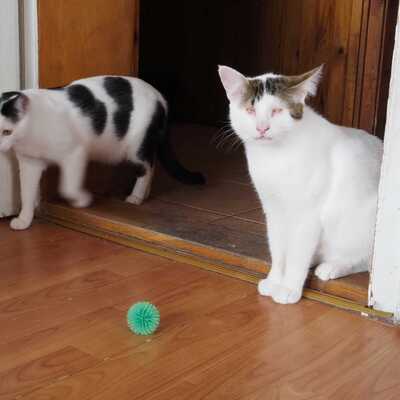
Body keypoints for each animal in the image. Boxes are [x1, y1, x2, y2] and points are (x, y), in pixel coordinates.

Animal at [0, 76, 205, 230]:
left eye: (7, 132)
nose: (0, 146)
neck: (31, 134)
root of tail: (161, 97)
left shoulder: (75, 154)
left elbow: (68, 187)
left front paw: (82, 201)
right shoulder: (29, 164)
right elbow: (26, 193)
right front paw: (24, 219)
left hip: (136, 147)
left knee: (146, 168)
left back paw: (137, 196)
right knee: (151, 165)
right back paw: (144, 194)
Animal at [220, 65, 382, 304]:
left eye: (277, 111)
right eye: (250, 111)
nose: (262, 128)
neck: (274, 158)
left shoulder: (308, 215)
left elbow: (297, 257)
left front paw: (288, 288)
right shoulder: (273, 210)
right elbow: (278, 251)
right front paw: (275, 280)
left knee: (365, 262)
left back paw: (333, 266)